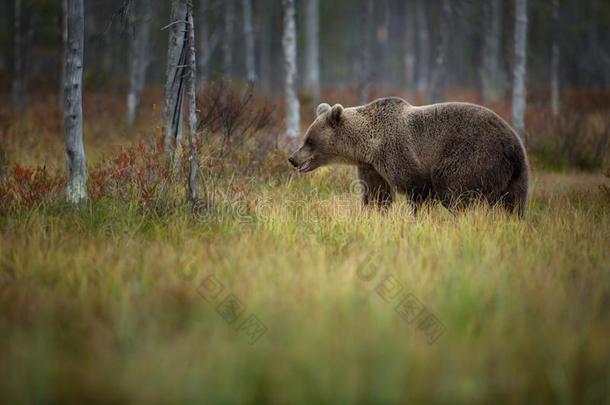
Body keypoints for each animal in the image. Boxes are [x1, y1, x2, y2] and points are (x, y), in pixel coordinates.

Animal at [288, 97, 524, 215]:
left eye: (309, 140)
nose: (292, 158)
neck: (368, 146)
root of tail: (513, 143)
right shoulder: (371, 167)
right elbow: (377, 195)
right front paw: (373, 215)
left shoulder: (398, 153)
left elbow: (418, 190)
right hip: (513, 176)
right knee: (512, 203)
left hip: (473, 154)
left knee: (453, 188)